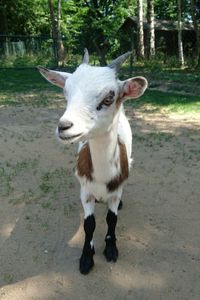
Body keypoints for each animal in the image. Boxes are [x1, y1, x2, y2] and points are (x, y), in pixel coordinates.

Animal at [37, 49, 148, 274]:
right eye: (66, 92)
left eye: (109, 97)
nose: (64, 126)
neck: (103, 178)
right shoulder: (85, 191)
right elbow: (89, 224)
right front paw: (87, 258)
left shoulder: (115, 191)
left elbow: (112, 219)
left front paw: (111, 249)